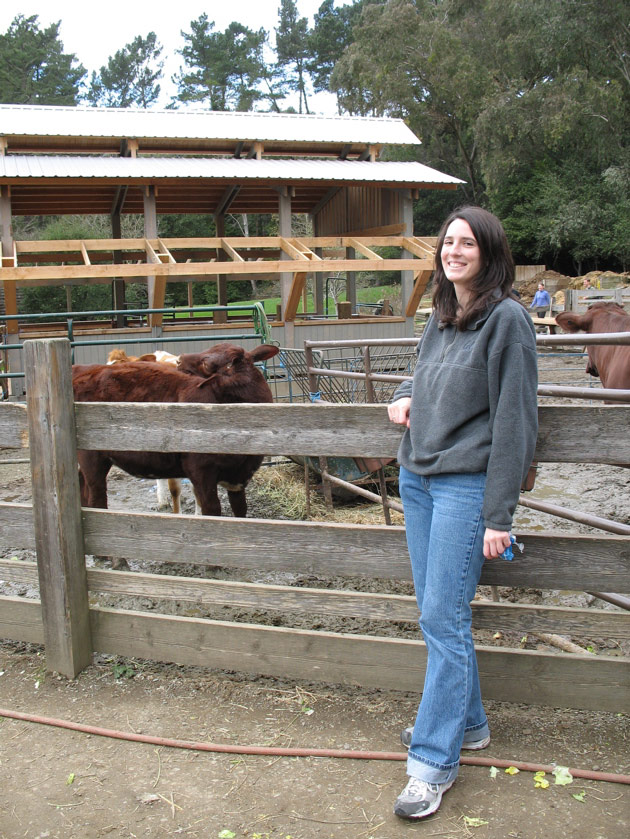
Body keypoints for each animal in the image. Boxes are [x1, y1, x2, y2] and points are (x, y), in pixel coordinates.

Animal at [73, 342, 278, 572]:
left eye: (207, 362)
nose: (180, 359)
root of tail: (84, 370)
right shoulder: (200, 470)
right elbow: (212, 509)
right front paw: (213, 564)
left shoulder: (240, 476)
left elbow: (240, 509)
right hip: (92, 456)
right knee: (97, 498)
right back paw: (116, 558)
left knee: (83, 488)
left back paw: (98, 553)